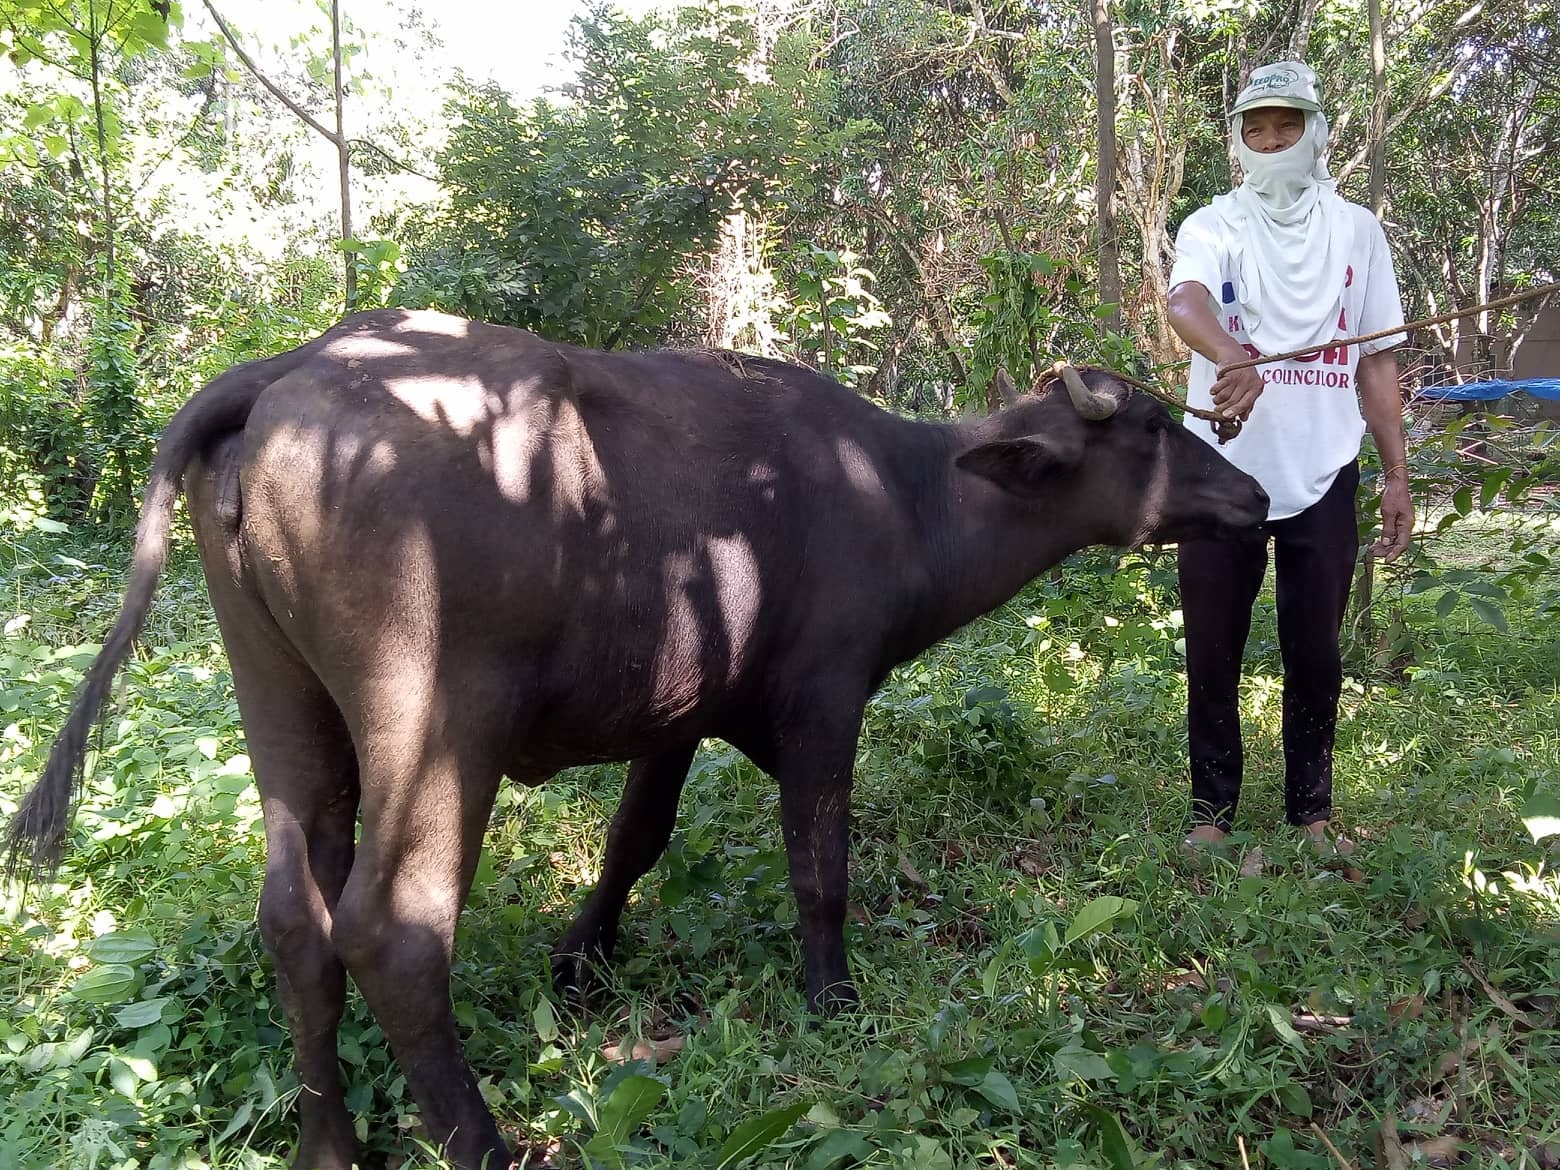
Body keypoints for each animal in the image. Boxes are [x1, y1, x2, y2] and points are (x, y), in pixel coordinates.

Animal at [9, 309, 1266, 1169]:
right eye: (1155, 426)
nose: (1253, 495)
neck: (904, 495)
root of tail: (291, 368)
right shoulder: (825, 700)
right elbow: (820, 863)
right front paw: (832, 998)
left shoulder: (681, 714)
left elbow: (636, 838)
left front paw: (583, 957)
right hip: (435, 722)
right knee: (392, 931)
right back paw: (483, 1143)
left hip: (282, 705)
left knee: (295, 922)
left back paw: (332, 1146)